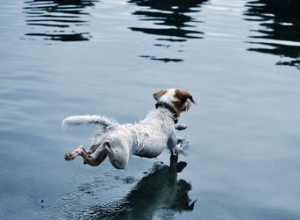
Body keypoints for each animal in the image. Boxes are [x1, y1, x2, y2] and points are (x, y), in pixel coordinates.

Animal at [62, 87, 196, 168]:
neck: (164, 110)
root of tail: (114, 127)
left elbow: (177, 125)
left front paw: (182, 125)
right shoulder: (172, 145)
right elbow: (177, 147)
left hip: (97, 157)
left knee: (85, 153)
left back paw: (71, 155)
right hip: (120, 160)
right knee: (103, 148)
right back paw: (105, 145)